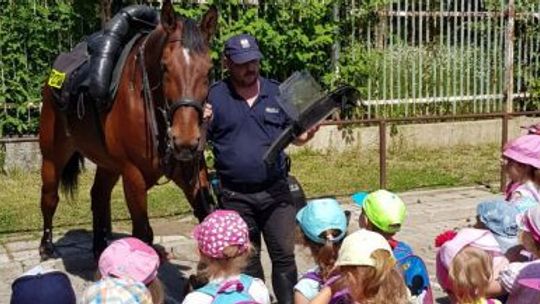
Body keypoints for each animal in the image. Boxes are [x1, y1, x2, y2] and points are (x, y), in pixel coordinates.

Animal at [37, 1, 218, 260]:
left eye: (210, 70)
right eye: (164, 67)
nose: (185, 140)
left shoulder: (190, 170)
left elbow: (207, 215)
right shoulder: (133, 175)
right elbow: (143, 233)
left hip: (108, 164)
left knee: (98, 195)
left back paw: (100, 247)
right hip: (53, 155)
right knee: (50, 197)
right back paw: (46, 246)